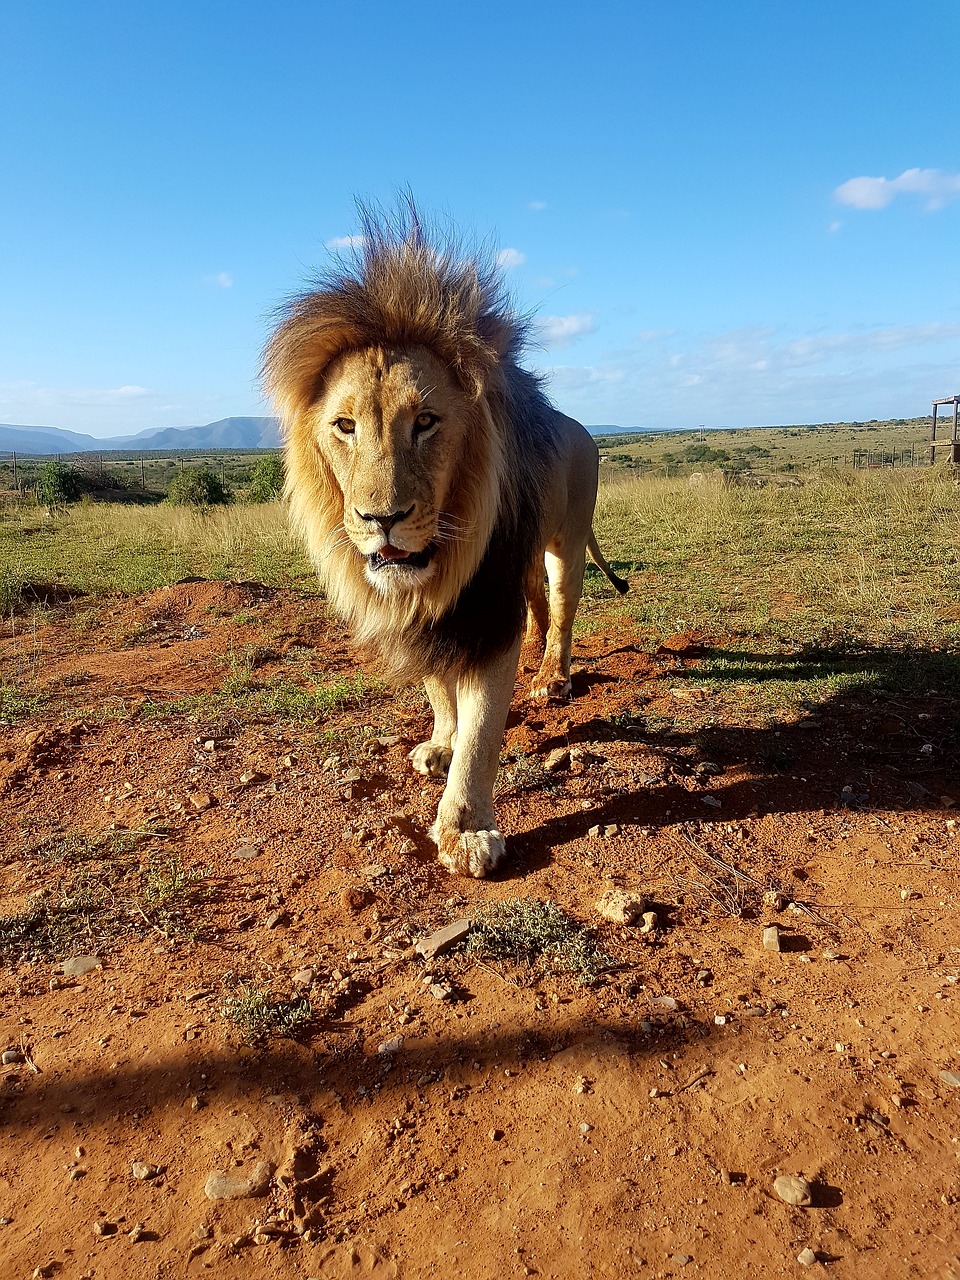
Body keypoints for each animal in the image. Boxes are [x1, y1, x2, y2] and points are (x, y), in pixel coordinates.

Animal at [263, 209, 627, 880]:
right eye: (345, 426)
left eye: (426, 422)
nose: (382, 518)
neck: (443, 564)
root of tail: (581, 427)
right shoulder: (424, 610)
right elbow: (439, 686)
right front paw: (440, 741)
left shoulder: (487, 609)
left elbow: (482, 733)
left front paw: (466, 829)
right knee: (539, 605)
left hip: (565, 539)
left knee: (562, 610)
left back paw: (551, 676)